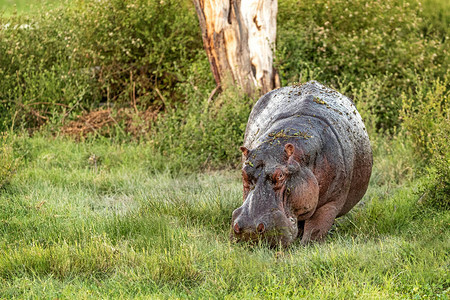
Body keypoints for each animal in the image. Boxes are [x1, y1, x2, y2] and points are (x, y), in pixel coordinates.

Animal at [230, 81, 370, 247]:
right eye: (243, 173)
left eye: (280, 175)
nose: (249, 230)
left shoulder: (330, 203)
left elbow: (316, 228)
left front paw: (307, 246)